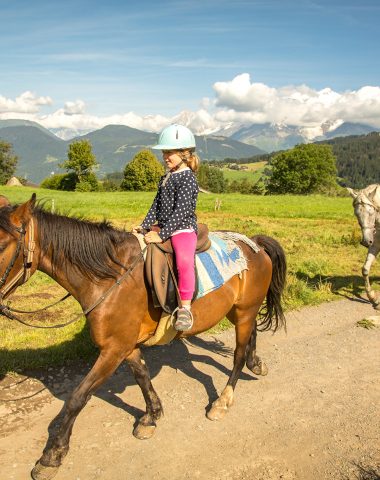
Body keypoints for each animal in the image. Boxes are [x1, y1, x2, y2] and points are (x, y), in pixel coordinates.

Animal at [0, 195, 284, 480]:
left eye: (2, 244)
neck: (109, 278)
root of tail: (254, 244)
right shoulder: (125, 345)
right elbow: (142, 376)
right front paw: (152, 415)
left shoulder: (113, 349)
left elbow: (77, 397)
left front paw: (52, 455)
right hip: (238, 311)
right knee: (251, 333)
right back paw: (256, 363)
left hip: (244, 311)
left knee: (237, 355)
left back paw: (223, 400)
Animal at [348, 184, 380, 312]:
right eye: (357, 214)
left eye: (371, 212)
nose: (366, 241)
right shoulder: (376, 244)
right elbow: (365, 269)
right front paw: (374, 299)